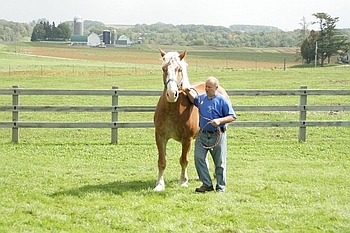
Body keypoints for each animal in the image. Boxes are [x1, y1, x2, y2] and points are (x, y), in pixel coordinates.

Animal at [152, 47, 230, 191]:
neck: (173, 109)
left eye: (179, 69)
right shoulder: (160, 136)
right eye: (164, 69)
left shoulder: (186, 139)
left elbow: (184, 160)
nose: (171, 94)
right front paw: (159, 184)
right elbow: (162, 161)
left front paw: (183, 181)